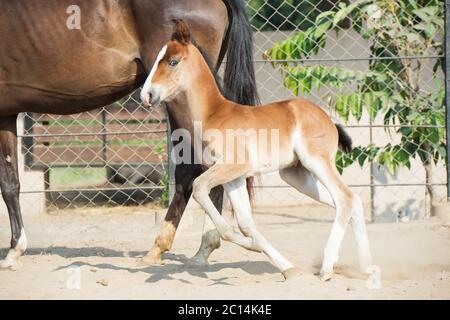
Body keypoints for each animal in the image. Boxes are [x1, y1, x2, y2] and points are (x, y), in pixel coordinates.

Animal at [142, 20, 372, 282]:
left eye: (173, 61)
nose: (147, 95)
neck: (214, 115)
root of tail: (327, 119)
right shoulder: (234, 178)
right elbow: (246, 223)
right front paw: (287, 267)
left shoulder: (233, 166)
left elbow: (200, 188)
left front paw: (247, 244)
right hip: (296, 174)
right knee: (352, 200)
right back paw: (367, 268)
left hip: (316, 161)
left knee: (345, 198)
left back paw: (327, 268)